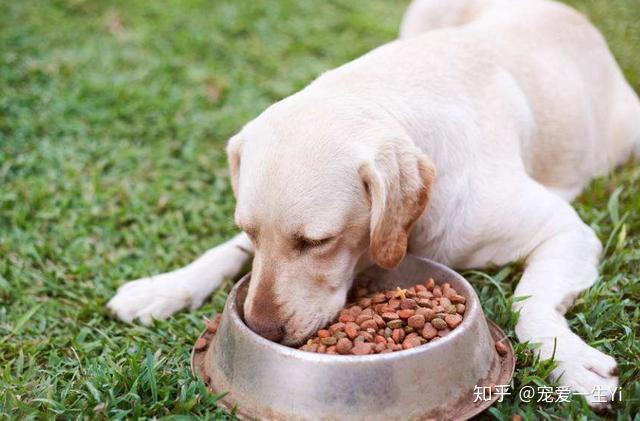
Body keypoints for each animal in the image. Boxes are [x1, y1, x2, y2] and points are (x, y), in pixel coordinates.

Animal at [107, 0, 636, 406]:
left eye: (317, 242)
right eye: (250, 231)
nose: (261, 328)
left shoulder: (567, 232)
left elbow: (533, 302)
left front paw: (568, 360)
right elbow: (223, 252)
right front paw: (163, 287)